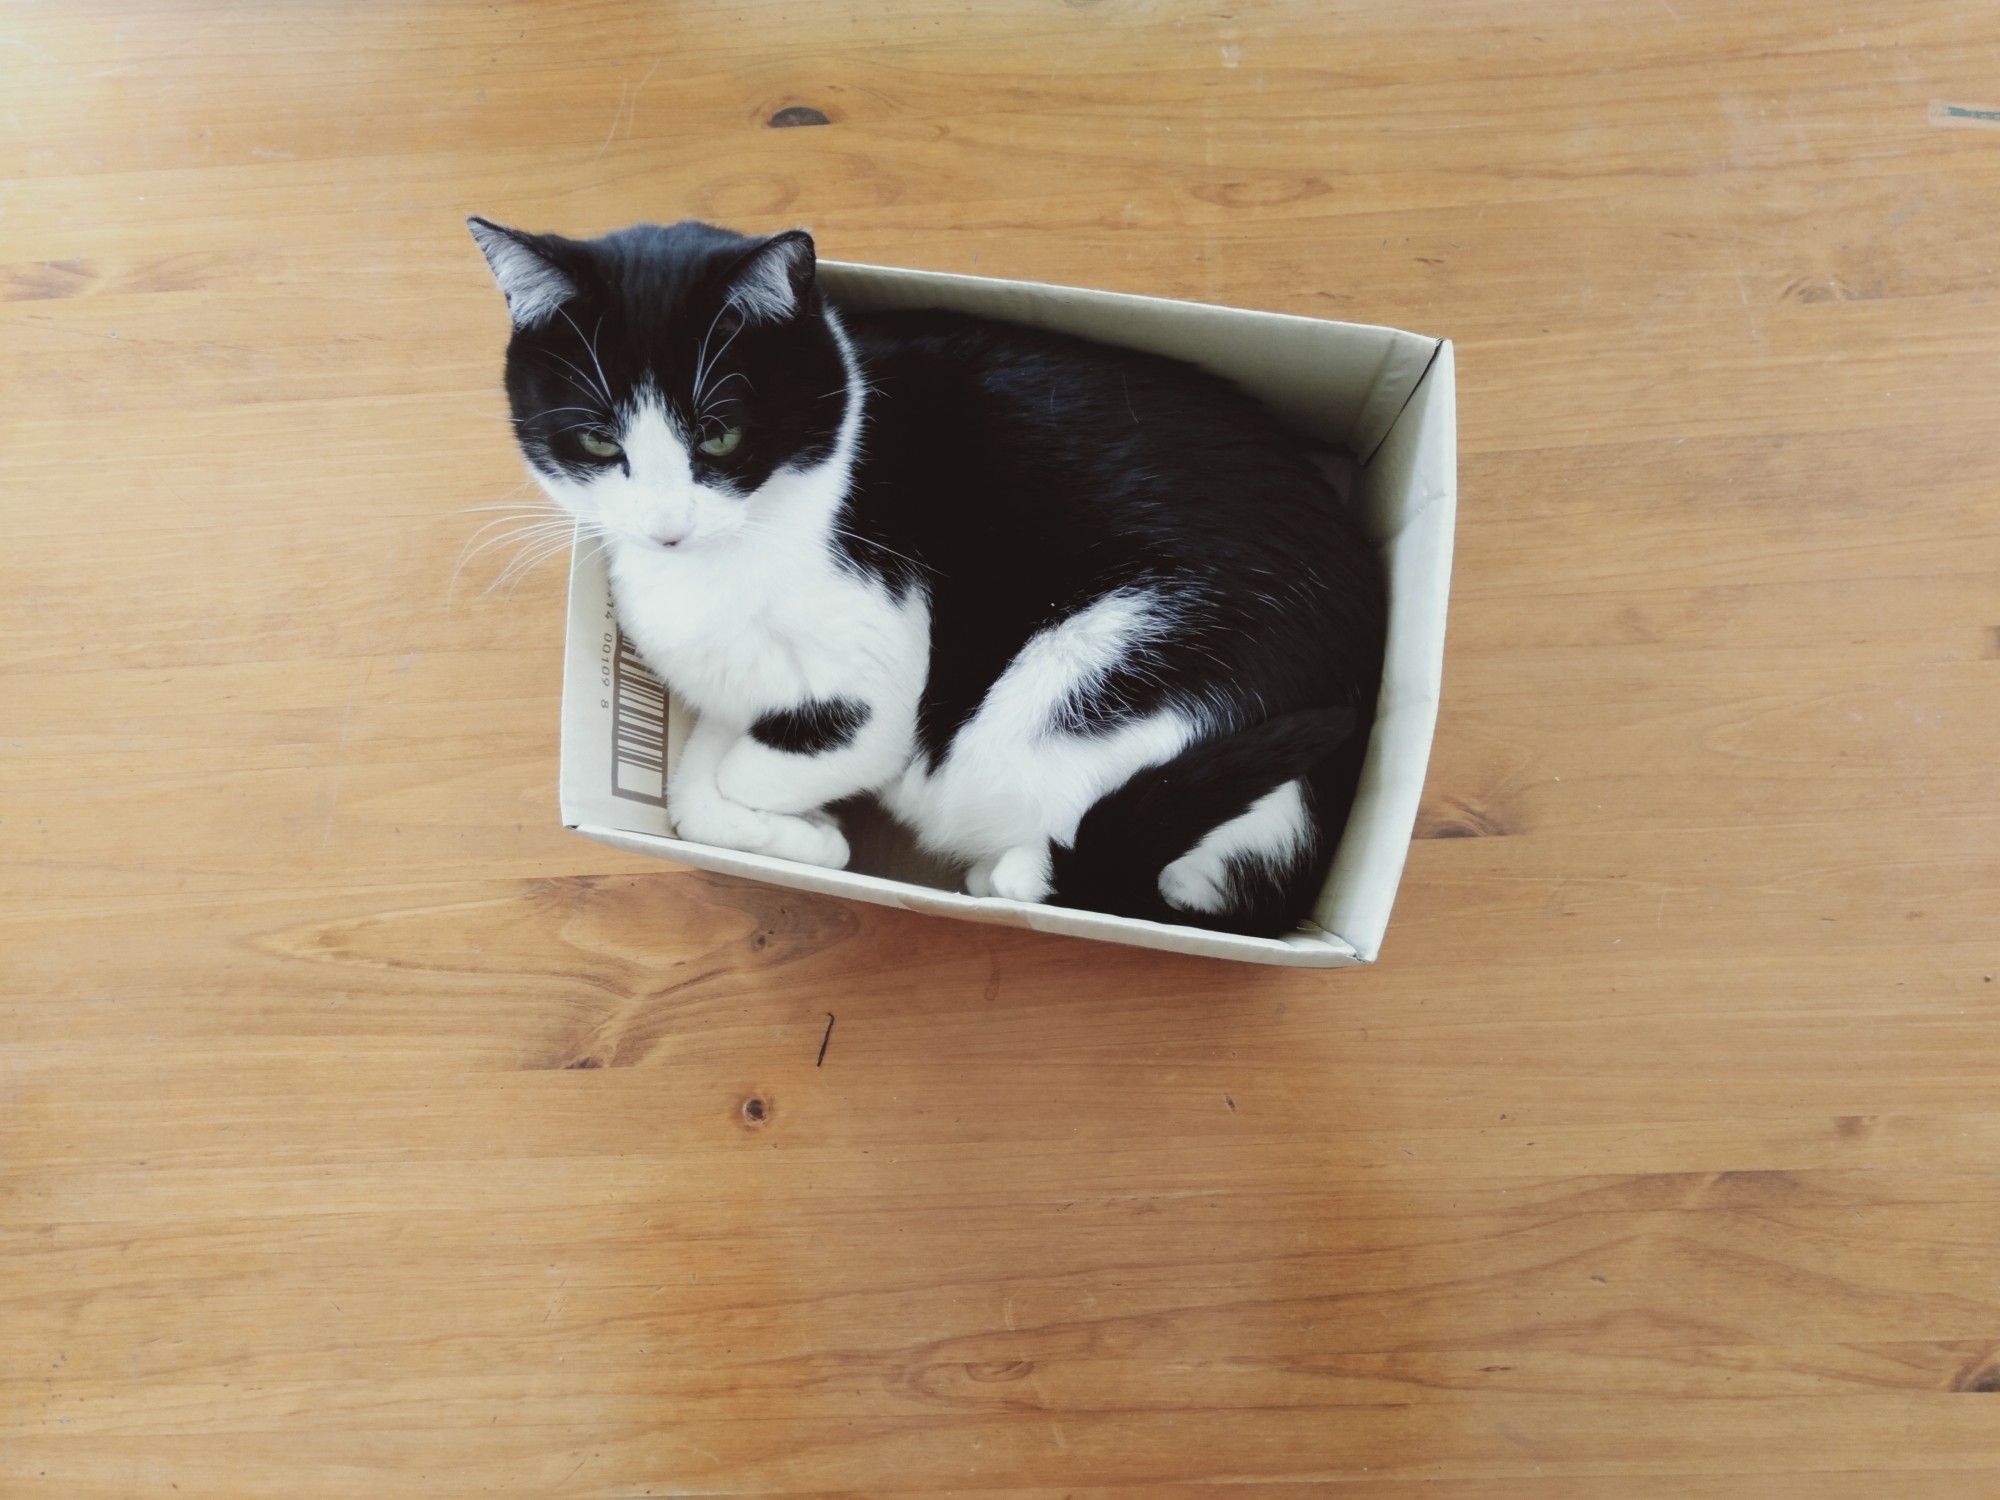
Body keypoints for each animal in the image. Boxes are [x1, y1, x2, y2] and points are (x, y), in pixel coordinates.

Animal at [470, 217, 1384, 936]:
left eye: (720, 435)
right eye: (599, 442)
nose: (665, 529)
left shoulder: (874, 685)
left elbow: (756, 767)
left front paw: (821, 834)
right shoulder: (735, 696)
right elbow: (693, 790)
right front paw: (801, 835)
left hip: (1067, 695)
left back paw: (1005, 874)